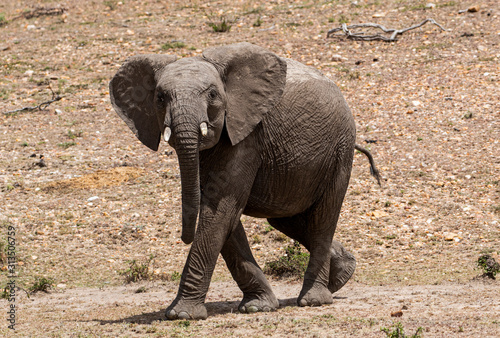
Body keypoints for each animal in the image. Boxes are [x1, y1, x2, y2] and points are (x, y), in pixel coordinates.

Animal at [110, 42, 378, 320]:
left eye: (213, 95)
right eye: (160, 98)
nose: (184, 237)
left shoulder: (248, 135)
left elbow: (220, 210)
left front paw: (181, 315)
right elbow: (224, 215)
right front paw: (258, 306)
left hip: (340, 150)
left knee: (322, 218)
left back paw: (315, 300)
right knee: (287, 219)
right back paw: (342, 275)